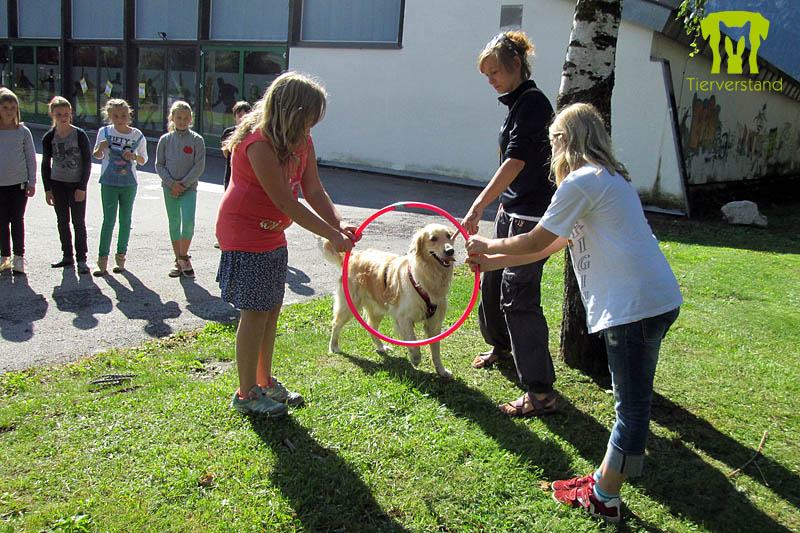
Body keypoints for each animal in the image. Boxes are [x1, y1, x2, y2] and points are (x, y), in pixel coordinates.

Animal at [320, 222, 456, 376]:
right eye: (433, 238)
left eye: (449, 236)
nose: (450, 251)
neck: (428, 276)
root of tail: (354, 255)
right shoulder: (404, 318)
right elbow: (413, 342)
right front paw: (415, 359)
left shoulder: (435, 322)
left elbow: (436, 351)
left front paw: (442, 371)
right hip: (348, 306)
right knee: (336, 325)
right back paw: (334, 346)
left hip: (377, 309)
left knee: (371, 327)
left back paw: (382, 347)